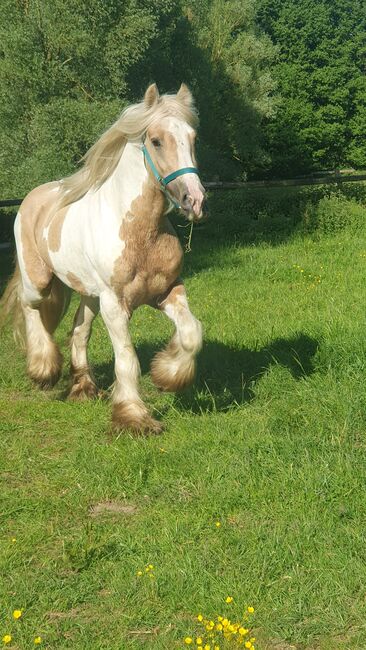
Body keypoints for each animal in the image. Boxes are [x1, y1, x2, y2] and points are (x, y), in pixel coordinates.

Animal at [0, 83, 206, 432]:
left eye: (193, 139)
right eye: (156, 140)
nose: (194, 200)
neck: (140, 232)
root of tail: (33, 198)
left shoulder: (168, 291)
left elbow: (192, 333)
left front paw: (168, 376)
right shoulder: (115, 304)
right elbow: (127, 359)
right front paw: (133, 417)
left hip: (88, 294)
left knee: (78, 330)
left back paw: (83, 387)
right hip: (39, 281)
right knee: (31, 309)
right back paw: (43, 369)